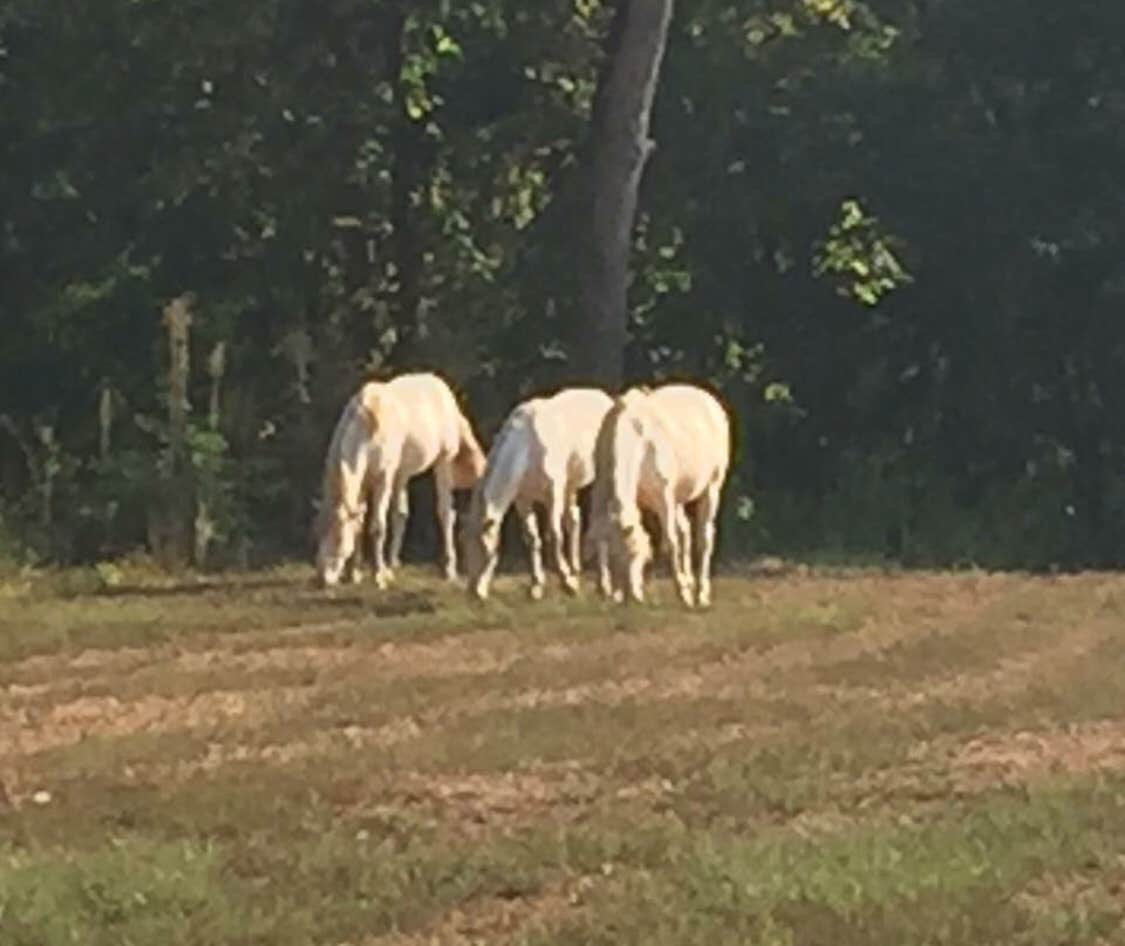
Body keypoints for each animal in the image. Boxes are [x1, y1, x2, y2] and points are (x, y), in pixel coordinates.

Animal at [314, 372, 485, 588]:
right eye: (316, 532)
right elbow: (361, 522)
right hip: (402, 474)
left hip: (443, 461)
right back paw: (393, 563)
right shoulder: (362, 482)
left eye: (338, 538)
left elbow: (377, 527)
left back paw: (448, 569)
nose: (322, 578)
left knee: (446, 513)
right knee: (401, 514)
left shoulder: (384, 478)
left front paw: (379, 576)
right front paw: (355, 573)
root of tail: (444, 391)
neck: (366, 428)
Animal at [464, 387, 614, 600]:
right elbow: (532, 538)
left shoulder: (554, 495)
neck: (528, 447)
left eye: (483, 548)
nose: (474, 592)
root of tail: (607, 399)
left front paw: (568, 583)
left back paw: (604, 584)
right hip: (570, 486)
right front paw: (537, 586)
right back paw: (576, 568)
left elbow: (555, 535)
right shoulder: (523, 500)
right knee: (574, 519)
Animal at [589, 383, 730, 606]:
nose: (633, 597)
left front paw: (683, 593)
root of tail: (708, 398)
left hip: (712, 487)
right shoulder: (601, 495)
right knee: (686, 530)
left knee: (705, 537)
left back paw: (701, 593)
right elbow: (599, 540)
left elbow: (670, 542)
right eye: (614, 558)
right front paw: (608, 589)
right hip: (677, 497)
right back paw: (690, 580)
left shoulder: (663, 498)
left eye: (639, 557)